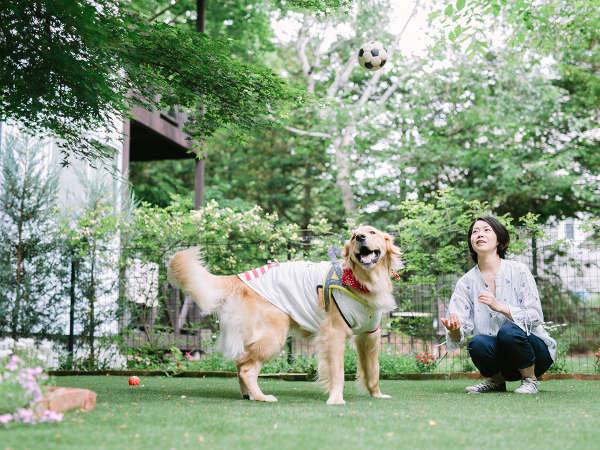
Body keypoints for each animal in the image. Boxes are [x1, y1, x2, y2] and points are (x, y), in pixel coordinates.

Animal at [168, 225, 404, 404]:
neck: (361, 280)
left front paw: (377, 394)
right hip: (274, 334)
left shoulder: (369, 335)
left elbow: (373, 370)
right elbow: (338, 372)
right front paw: (336, 398)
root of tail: (239, 277)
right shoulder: (334, 334)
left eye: (372, 232)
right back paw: (261, 397)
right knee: (246, 368)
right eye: (354, 236)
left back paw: (248, 394)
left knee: (240, 362)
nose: (361, 237)